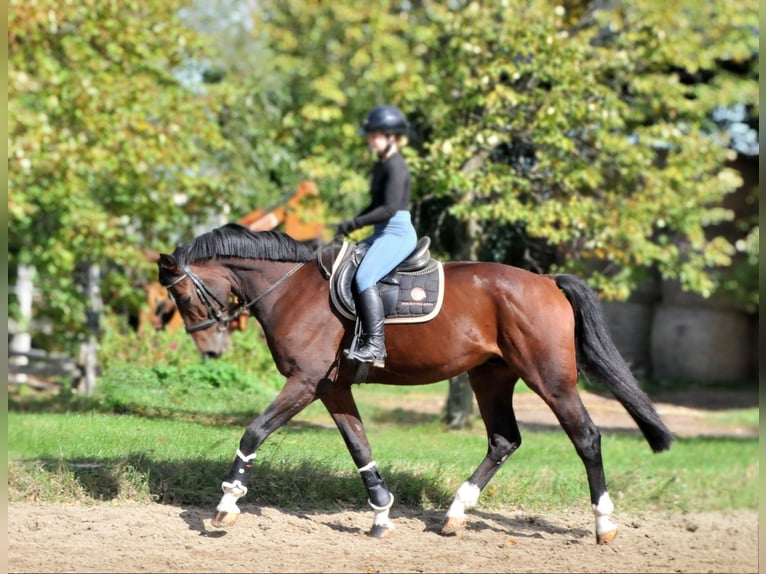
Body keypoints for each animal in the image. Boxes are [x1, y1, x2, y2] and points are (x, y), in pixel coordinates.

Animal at [158, 224, 672, 544]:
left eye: (181, 294)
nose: (209, 348)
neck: (291, 287)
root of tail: (546, 281)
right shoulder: (331, 388)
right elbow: (359, 445)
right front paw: (382, 512)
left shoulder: (303, 382)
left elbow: (255, 431)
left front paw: (227, 502)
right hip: (491, 376)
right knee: (503, 440)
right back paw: (455, 514)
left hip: (549, 377)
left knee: (586, 437)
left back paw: (603, 523)